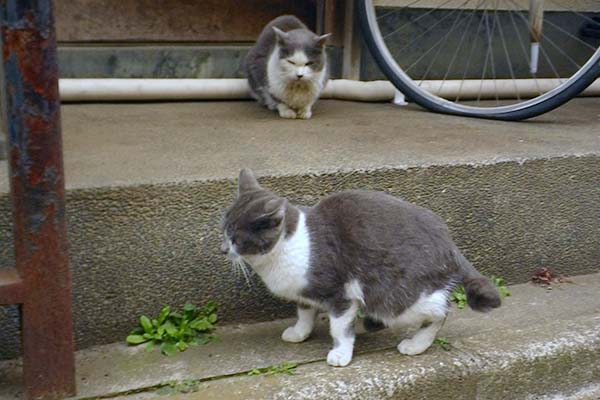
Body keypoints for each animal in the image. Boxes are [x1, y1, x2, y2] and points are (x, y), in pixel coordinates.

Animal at [221, 170, 502, 368]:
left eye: (236, 238)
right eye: (223, 230)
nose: (223, 249)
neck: (289, 247)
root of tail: (449, 242)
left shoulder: (340, 294)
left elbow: (339, 328)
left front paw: (340, 354)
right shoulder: (305, 292)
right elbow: (304, 313)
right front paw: (299, 332)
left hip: (396, 297)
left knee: (441, 312)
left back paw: (415, 345)